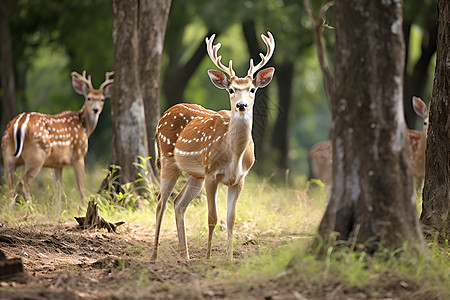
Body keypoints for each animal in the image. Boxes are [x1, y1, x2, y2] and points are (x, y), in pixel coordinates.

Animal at [1, 71, 113, 210]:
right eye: (89, 98)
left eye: (102, 99)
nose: (96, 110)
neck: (85, 127)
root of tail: (17, 124)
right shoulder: (78, 155)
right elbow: (81, 188)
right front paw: (82, 208)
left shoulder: (57, 164)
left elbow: (59, 190)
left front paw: (59, 212)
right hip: (37, 154)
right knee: (23, 182)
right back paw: (31, 209)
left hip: (7, 153)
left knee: (9, 184)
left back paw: (12, 211)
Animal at [153, 31, 276, 260]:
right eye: (231, 89)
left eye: (252, 89)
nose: (242, 105)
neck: (235, 155)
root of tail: (163, 115)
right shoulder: (211, 173)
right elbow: (212, 218)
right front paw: (209, 257)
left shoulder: (240, 179)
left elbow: (231, 219)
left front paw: (229, 258)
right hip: (168, 160)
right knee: (160, 202)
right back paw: (154, 255)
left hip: (195, 174)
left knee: (178, 204)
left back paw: (186, 256)